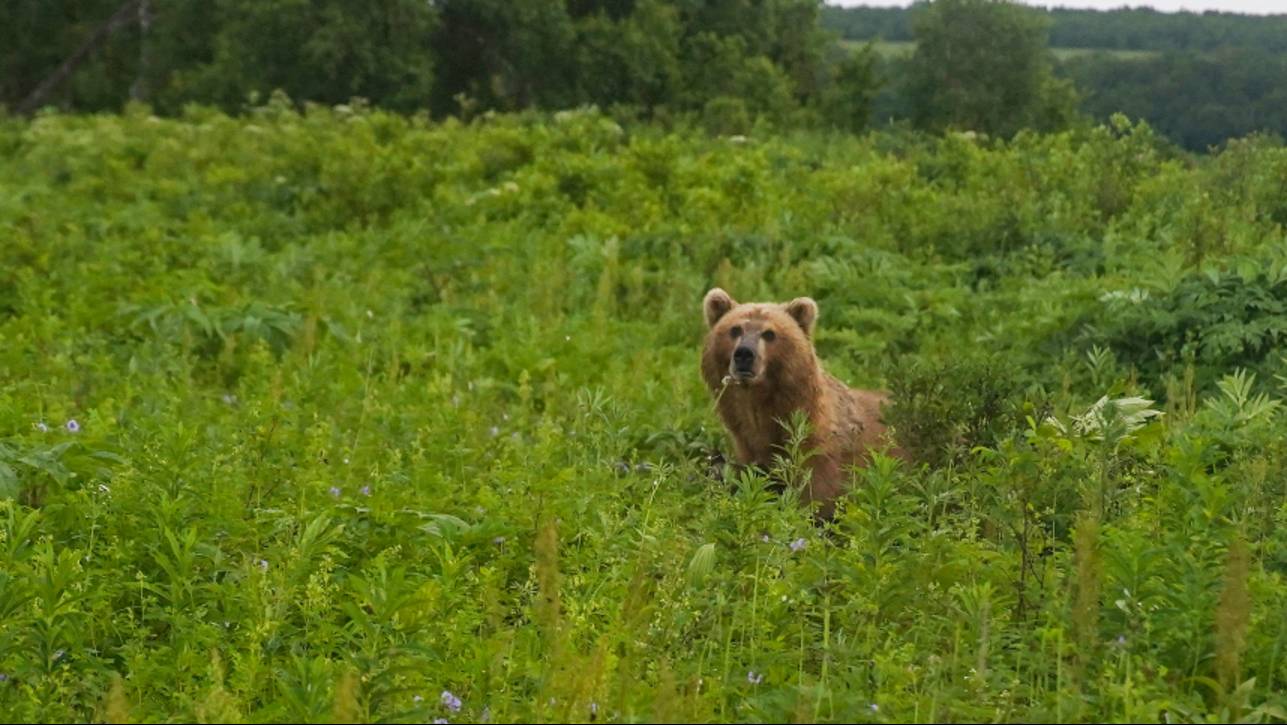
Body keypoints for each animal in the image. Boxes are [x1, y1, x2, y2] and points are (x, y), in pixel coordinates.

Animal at [700, 287, 900, 520]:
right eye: (735, 329)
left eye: (769, 333)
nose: (744, 354)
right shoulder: (747, 448)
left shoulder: (823, 456)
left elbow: (816, 498)